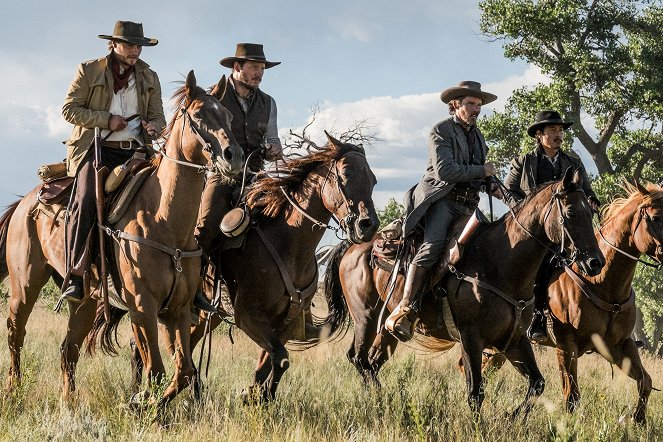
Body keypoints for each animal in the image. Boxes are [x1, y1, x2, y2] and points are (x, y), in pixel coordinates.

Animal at [0, 71, 244, 406]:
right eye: (198, 115)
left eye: (230, 116)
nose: (235, 156)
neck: (164, 221)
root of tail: (24, 202)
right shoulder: (142, 308)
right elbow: (156, 370)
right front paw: (143, 404)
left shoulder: (179, 310)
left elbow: (183, 371)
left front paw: (148, 404)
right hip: (24, 285)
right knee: (16, 334)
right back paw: (14, 390)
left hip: (86, 299)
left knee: (68, 349)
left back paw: (69, 402)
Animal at [322, 167, 608, 418]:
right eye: (570, 212)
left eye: (589, 210)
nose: (596, 262)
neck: (499, 262)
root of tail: (353, 246)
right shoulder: (471, 338)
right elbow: (475, 392)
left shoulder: (514, 340)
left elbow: (537, 384)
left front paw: (510, 417)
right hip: (365, 318)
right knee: (359, 359)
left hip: (386, 328)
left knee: (372, 362)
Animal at [482, 180, 663, 424]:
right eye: (655, 217)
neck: (602, 283)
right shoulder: (566, 345)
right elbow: (571, 396)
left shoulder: (619, 346)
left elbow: (645, 382)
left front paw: (638, 420)